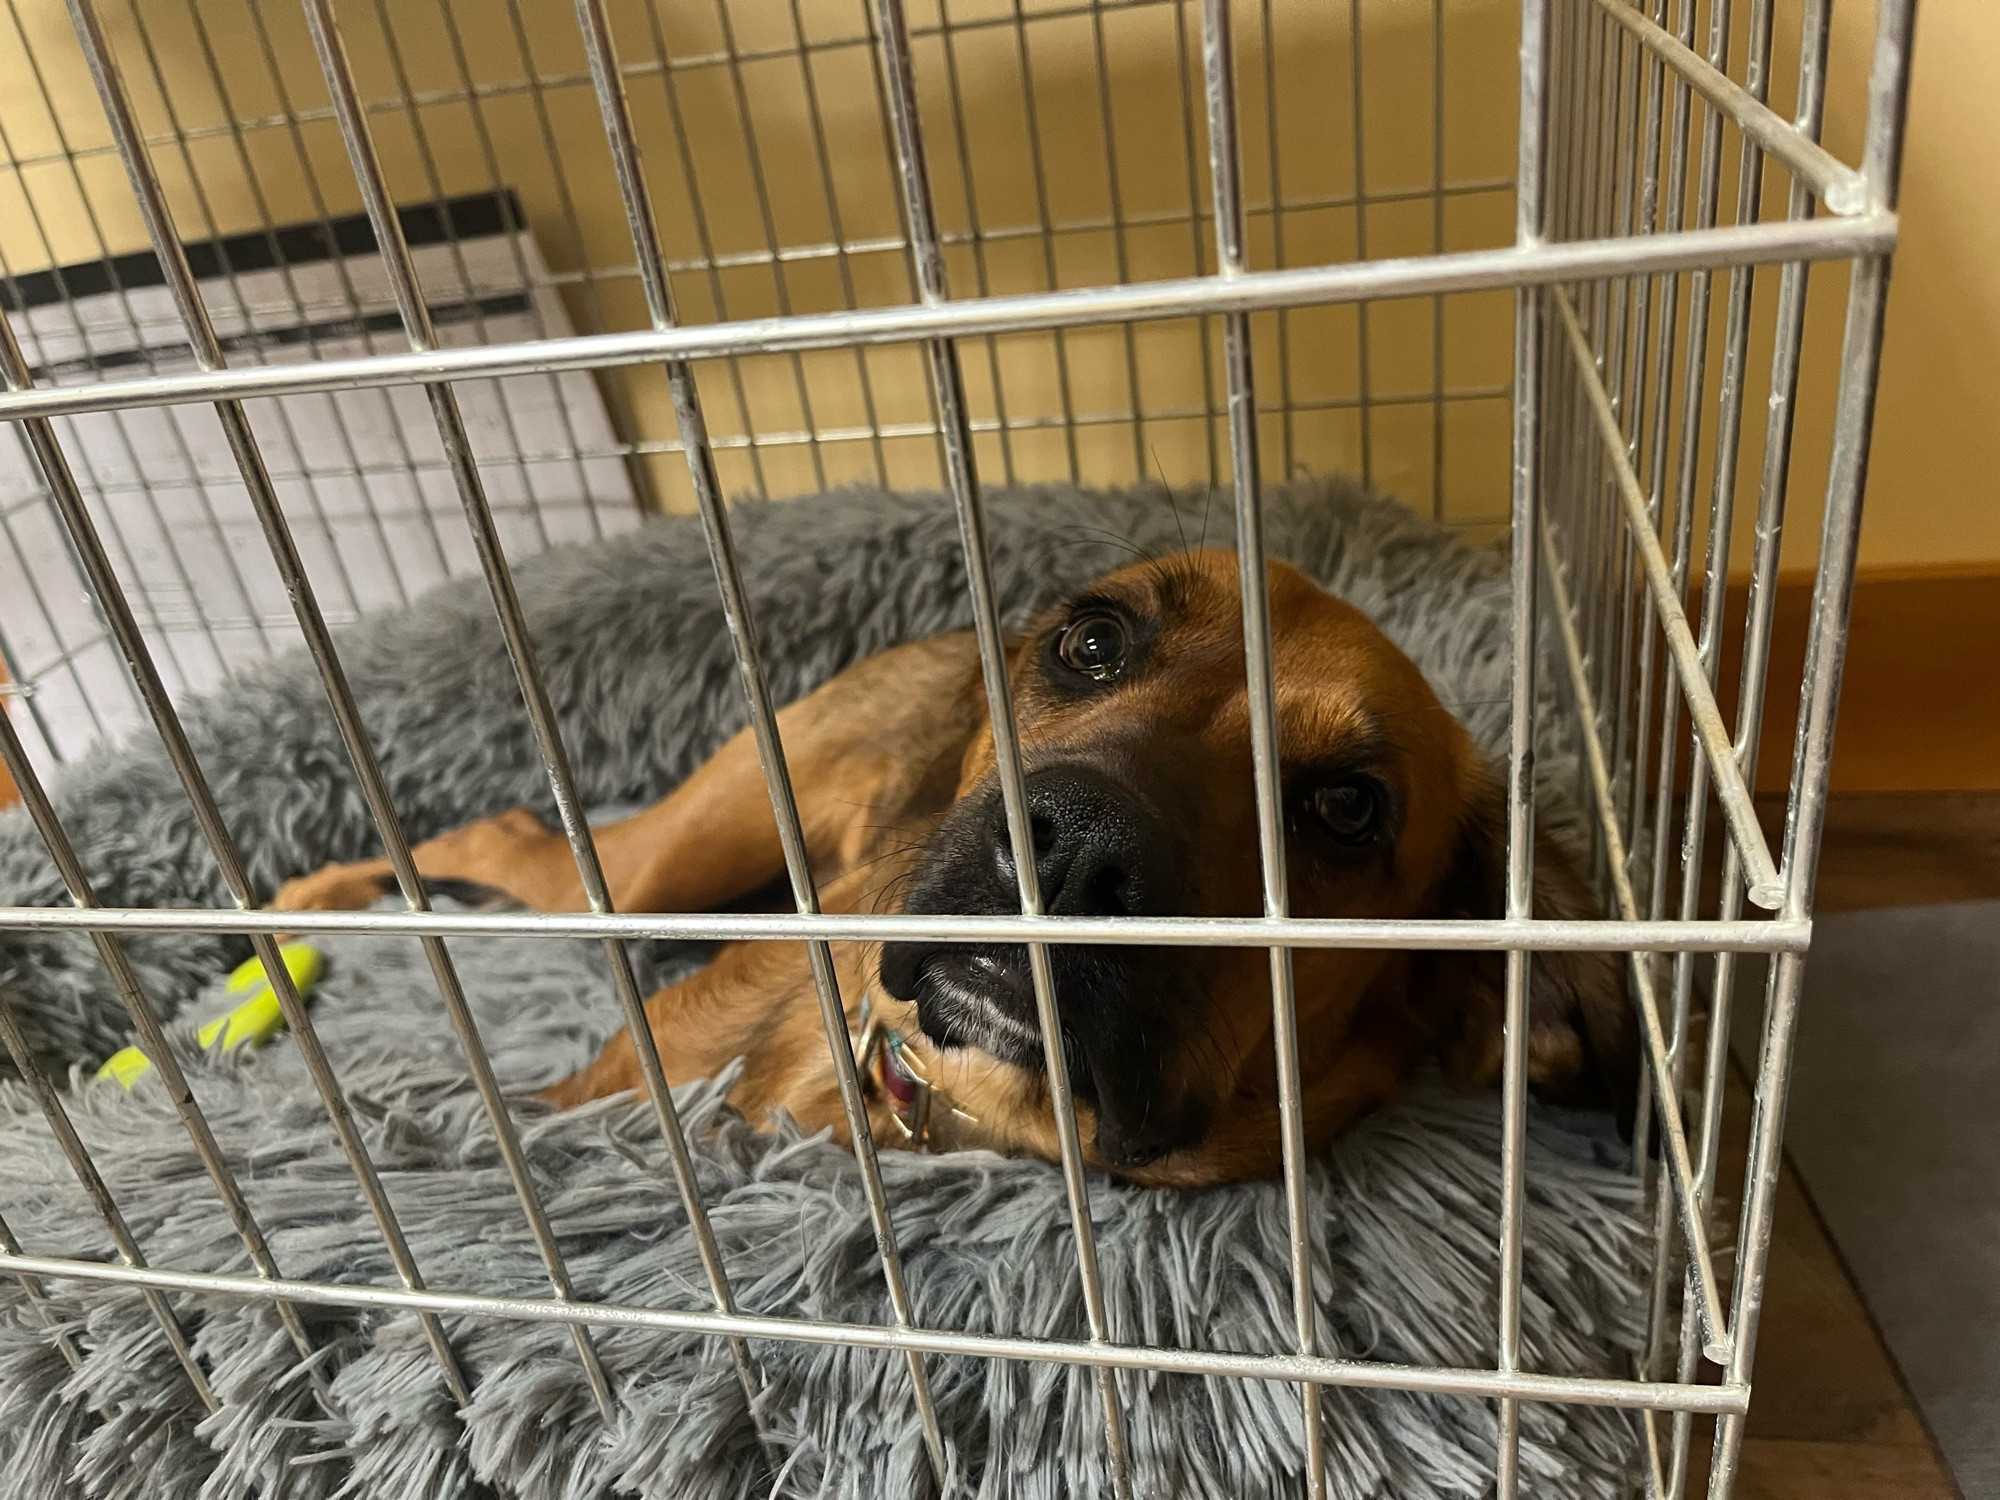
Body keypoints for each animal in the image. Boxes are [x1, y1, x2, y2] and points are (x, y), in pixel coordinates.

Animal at [274, 548, 1632, 1184]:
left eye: (1346, 808)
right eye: (1094, 643)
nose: (1072, 842)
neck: (969, 1103)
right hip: (680, 858)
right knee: (506, 839)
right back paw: (313, 898)